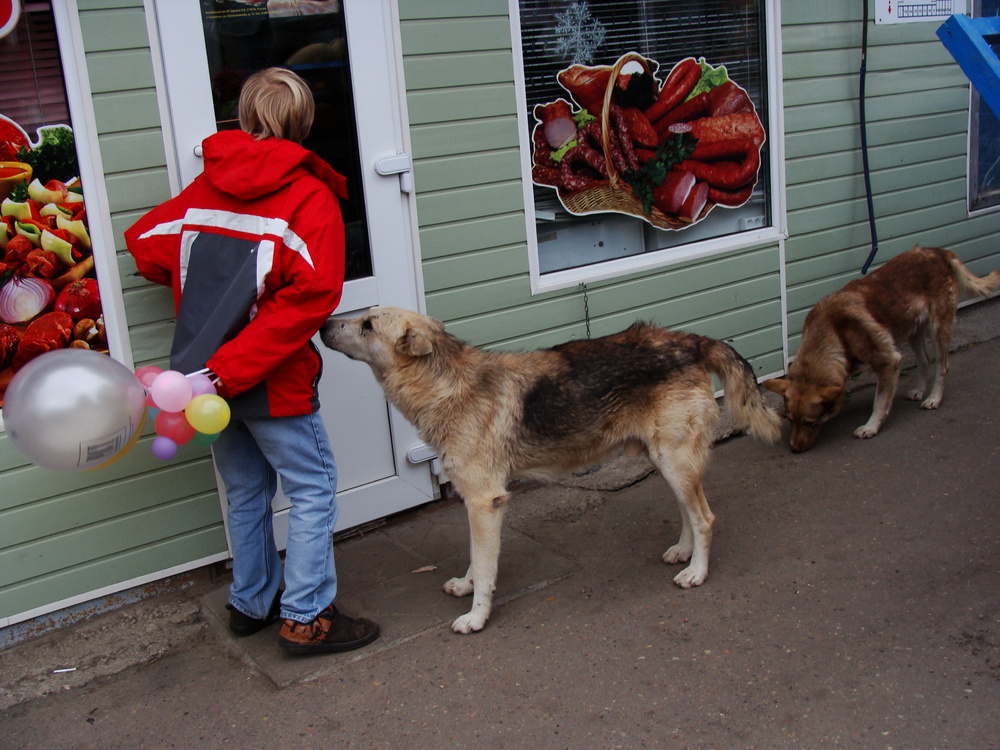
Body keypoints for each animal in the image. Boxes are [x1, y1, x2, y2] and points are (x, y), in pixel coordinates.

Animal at [320, 306, 780, 636]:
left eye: (367, 324)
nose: (322, 324)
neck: (446, 384)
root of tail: (690, 340)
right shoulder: (477, 504)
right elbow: (474, 559)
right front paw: (467, 588)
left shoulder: (484, 502)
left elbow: (484, 566)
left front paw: (476, 616)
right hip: (666, 460)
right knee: (689, 511)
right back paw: (684, 553)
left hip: (674, 459)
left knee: (705, 517)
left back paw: (697, 572)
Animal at [760, 247, 996, 452]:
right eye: (789, 419)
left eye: (809, 422)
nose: (794, 449)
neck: (834, 332)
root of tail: (938, 251)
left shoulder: (889, 362)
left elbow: (879, 401)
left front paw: (871, 427)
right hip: (912, 333)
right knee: (924, 360)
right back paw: (920, 390)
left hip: (938, 331)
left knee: (942, 366)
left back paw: (934, 398)